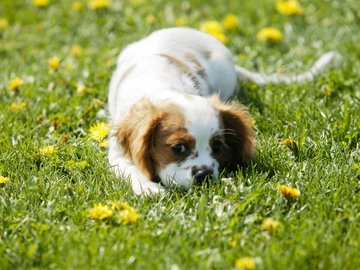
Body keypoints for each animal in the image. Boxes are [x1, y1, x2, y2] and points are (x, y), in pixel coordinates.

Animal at [107, 26, 340, 194]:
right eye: (178, 148)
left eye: (217, 146)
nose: (204, 175)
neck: (164, 86)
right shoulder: (116, 152)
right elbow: (130, 169)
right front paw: (149, 188)